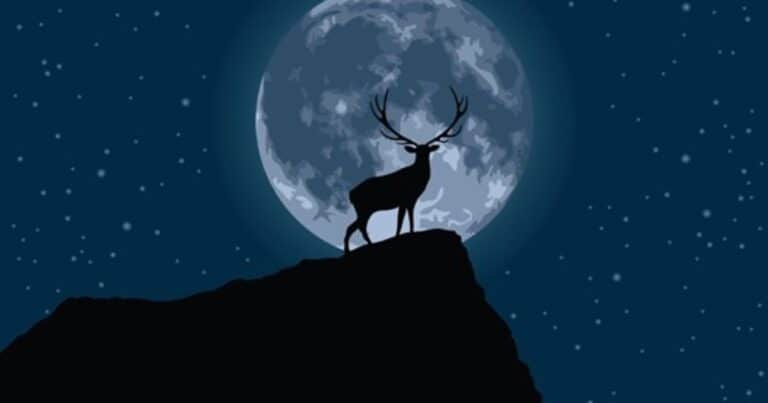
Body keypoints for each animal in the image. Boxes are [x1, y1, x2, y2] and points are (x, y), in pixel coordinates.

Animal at [344, 87, 469, 253]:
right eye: (417, 152)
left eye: (427, 151)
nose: (423, 158)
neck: (417, 181)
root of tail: (351, 194)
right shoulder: (403, 199)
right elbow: (399, 224)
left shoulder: (411, 200)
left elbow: (410, 222)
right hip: (364, 208)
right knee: (356, 227)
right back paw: (361, 247)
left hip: (366, 210)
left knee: (355, 227)